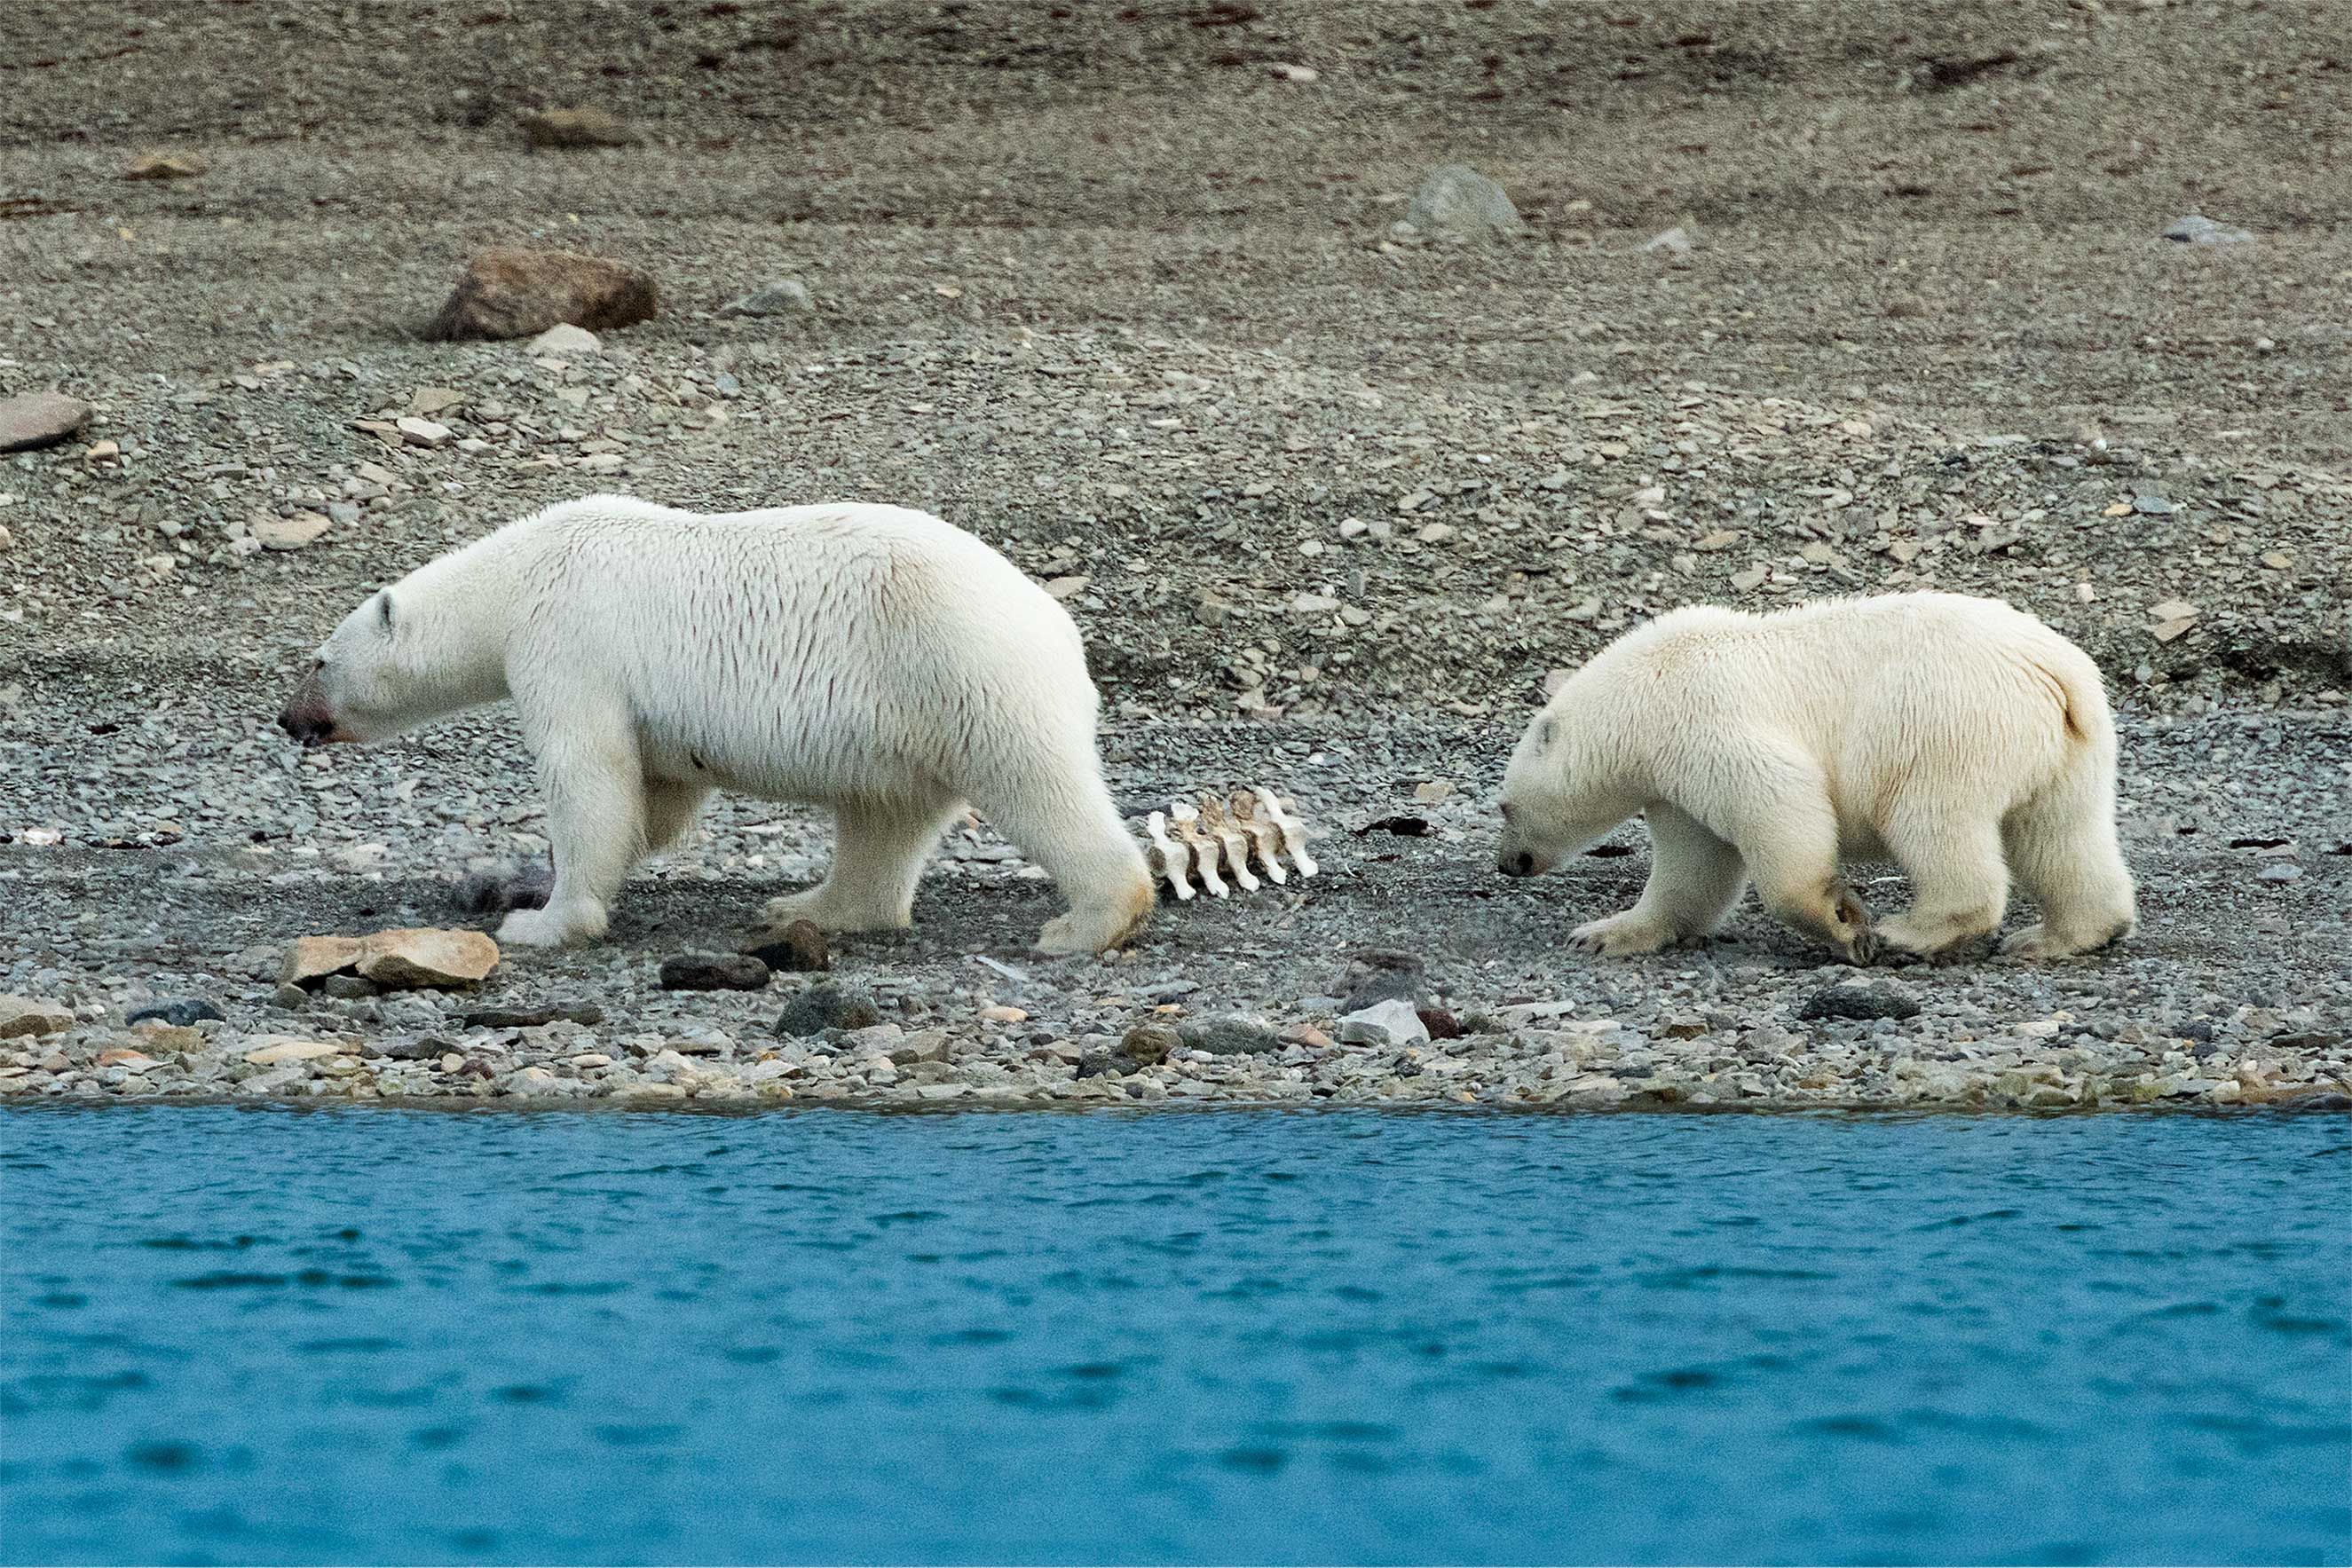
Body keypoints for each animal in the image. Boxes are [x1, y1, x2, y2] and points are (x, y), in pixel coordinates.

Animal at [277, 495, 1155, 956]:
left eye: (318, 660)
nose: (288, 719)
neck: (519, 575)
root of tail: (1056, 623)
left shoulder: (567, 644)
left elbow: (588, 778)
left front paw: (541, 918)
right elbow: (653, 797)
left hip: (962, 670)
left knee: (1037, 785)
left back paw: (1084, 923)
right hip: (908, 714)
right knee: (884, 818)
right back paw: (809, 906)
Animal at [1493, 592, 2137, 963]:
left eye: (1504, 807)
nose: (1508, 864)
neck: (1640, 697)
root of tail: (2052, 669)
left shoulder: (1706, 724)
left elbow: (1781, 807)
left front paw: (1846, 924)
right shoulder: (1673, 782)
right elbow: (1693, 864)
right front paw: (1602, 932)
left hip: (1940, 723)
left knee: (1931, 820)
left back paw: (1913, 931)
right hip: (2069, 746)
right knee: (2060, 834)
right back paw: (2062, 936)